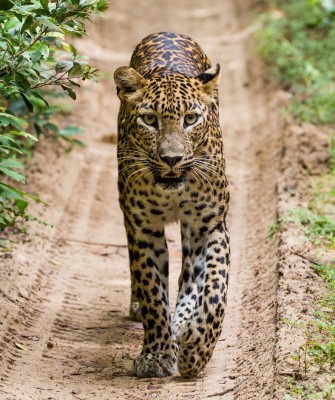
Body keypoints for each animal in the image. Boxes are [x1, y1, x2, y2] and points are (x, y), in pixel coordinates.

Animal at [114, 32, 230, 378]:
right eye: (149, 120)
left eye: (190, 119)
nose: (171, 159)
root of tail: (167, 32)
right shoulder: (143, 228)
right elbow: (152, 290)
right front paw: (156, 356)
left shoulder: (210, 224)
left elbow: (215, 288)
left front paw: (198, 350)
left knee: (190, 273)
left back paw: (184, 324)